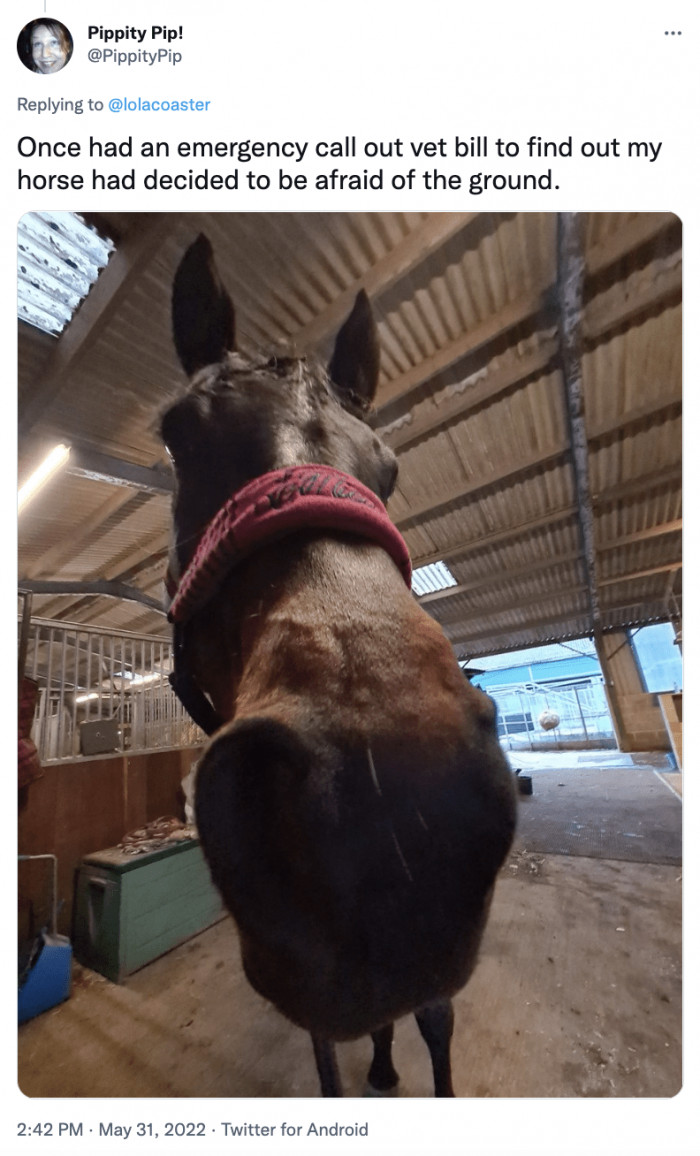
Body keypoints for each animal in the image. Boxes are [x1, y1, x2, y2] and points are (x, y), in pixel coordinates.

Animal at [160, 235, 517, 1097]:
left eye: (388, 469)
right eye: (176, 436)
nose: (392, 803)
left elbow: (434, 1017)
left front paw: (393, 1059)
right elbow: (330, 1042)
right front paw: (377, 1063)